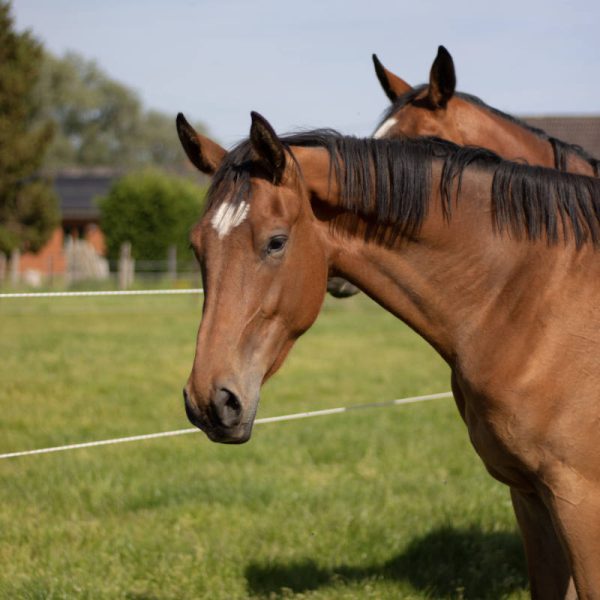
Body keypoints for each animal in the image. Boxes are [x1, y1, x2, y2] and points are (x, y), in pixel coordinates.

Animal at [176, 113, 600, 600]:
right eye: (196, 247)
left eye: (276, 242)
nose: (209, 401)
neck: (534, 300)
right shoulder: (530, 496)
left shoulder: (579, 502)